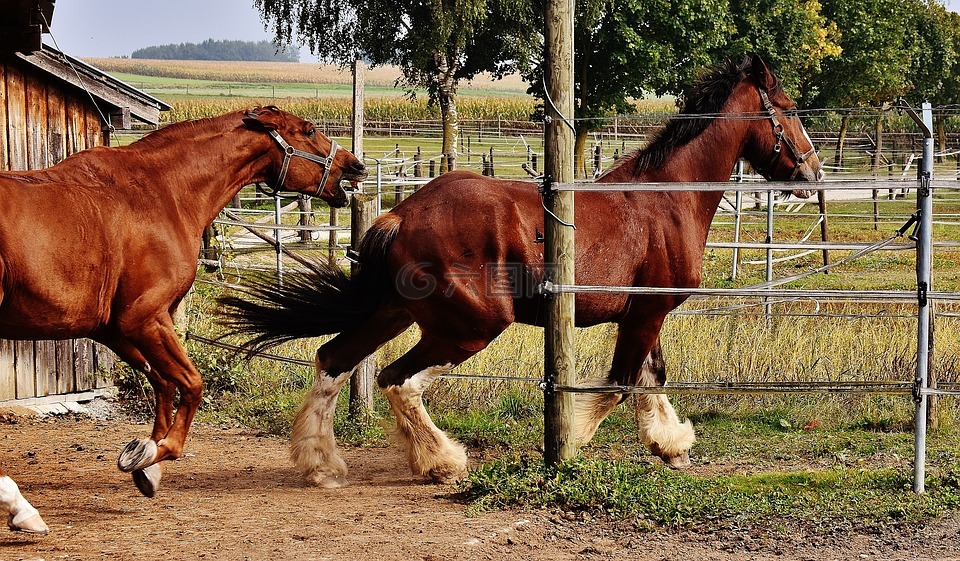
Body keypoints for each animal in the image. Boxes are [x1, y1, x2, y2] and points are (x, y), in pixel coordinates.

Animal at [0, 106, 368, 504]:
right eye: (310, 130)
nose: (356, 166)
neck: (163, 193)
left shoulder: (116, 329)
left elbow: (163, 383)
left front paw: (147, 464)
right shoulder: (143, 319)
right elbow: (191, 384)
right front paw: (156, 452)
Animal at [221, 55, 820, 486]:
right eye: (789, 110)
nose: (812, 172)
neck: (664, 199)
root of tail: (401, 213)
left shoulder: (643, 314)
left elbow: (651, 378)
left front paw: (670, 445)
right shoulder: (646, 313)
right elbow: (619, 384)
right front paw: (572, 448)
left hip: (395, 313)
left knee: (333, 360)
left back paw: (321, 465)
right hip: (471, 325)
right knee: (398, 380)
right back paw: (442, 463)